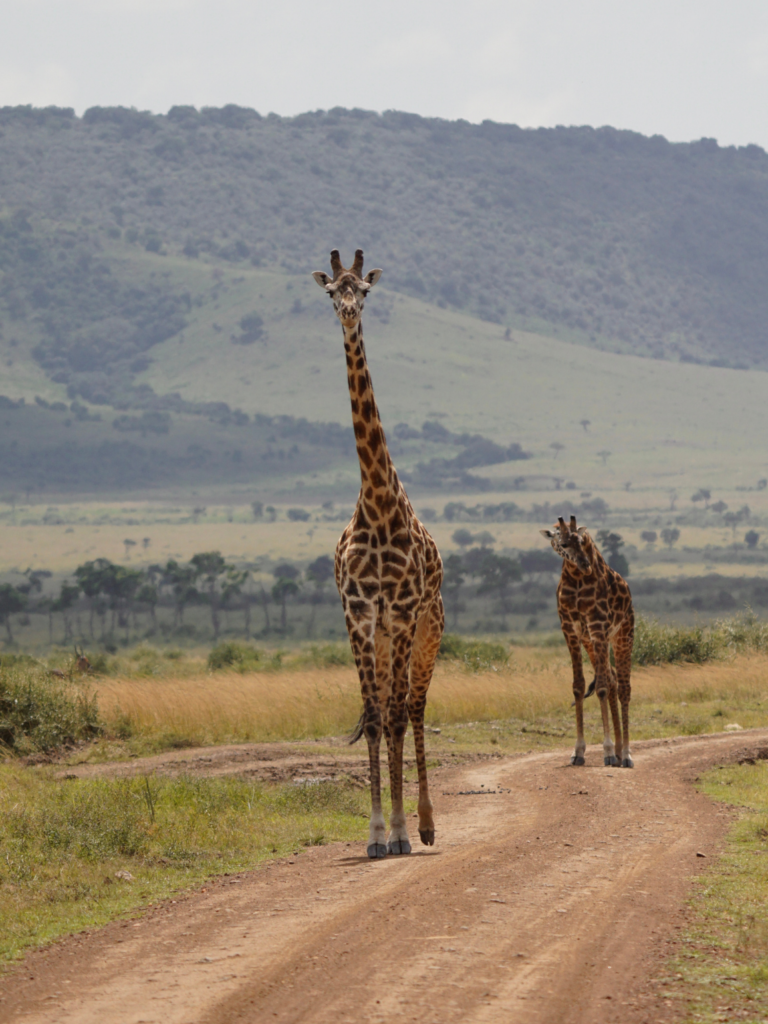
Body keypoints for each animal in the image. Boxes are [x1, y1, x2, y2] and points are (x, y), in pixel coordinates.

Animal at [540, 520, 638, 770]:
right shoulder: (571, 631)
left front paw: (608, 751)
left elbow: (601, 688)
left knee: (623, 687)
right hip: (591, 642)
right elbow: (579, 686)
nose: (584, 565)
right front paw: (578, 752)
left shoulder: (597, 626)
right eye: (564, 543)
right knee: (612, 678)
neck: (575, 579)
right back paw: (620, 751)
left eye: (581, 541)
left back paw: (626, 754)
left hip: (622, 634)